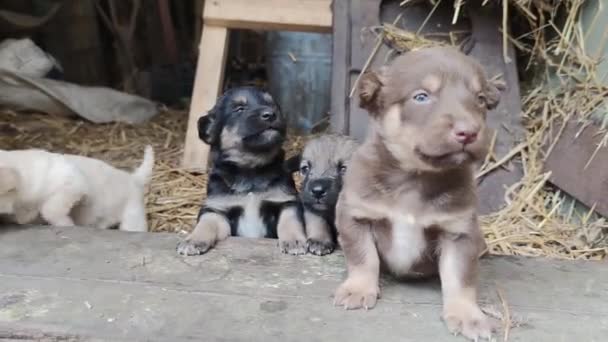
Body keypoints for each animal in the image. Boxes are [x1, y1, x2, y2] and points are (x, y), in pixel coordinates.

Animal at [178, 87, 306, 255]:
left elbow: (290, 219)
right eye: (239, 109)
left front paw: (294, 241)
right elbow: (206, 222)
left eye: (273, 105)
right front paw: (193, 240)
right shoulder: (216, 208)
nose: (271, 114)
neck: (250, 168)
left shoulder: (286, 201)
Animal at [332, 46, 504, 342]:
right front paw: (358, 289)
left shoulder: (459, 231)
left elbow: (460, 278)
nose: (469, 133)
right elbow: (363, 257)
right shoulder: (356, 214)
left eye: (480, 99)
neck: (415, 177)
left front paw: (468, 315)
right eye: (421, 97)